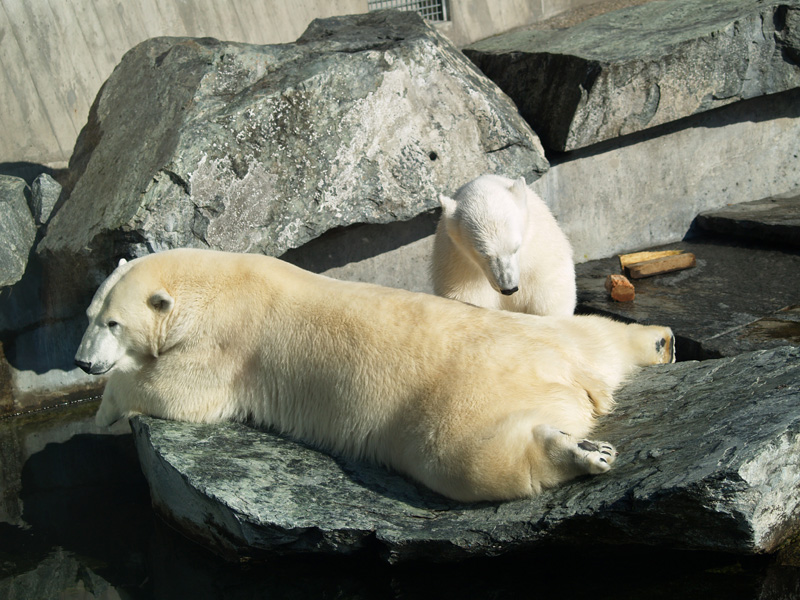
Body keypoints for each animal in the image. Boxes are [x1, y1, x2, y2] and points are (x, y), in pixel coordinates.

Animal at [75, 248, 675, 503]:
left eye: (113, 322)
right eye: (88, 316)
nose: (82, 362)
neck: (208, 282)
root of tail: (572, 377)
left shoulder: (227, 342)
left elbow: (180, 390)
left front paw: (105, 404)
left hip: (461, 394)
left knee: (466, 456)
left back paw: (579, 453)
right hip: (556, 339)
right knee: (597, 333)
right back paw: (657, 343)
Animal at [432, 174, 576, 316]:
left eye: (516, 248)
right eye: (484, 254)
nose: (509, 289)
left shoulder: (540, 252)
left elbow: (551, 296)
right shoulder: (458, 267)